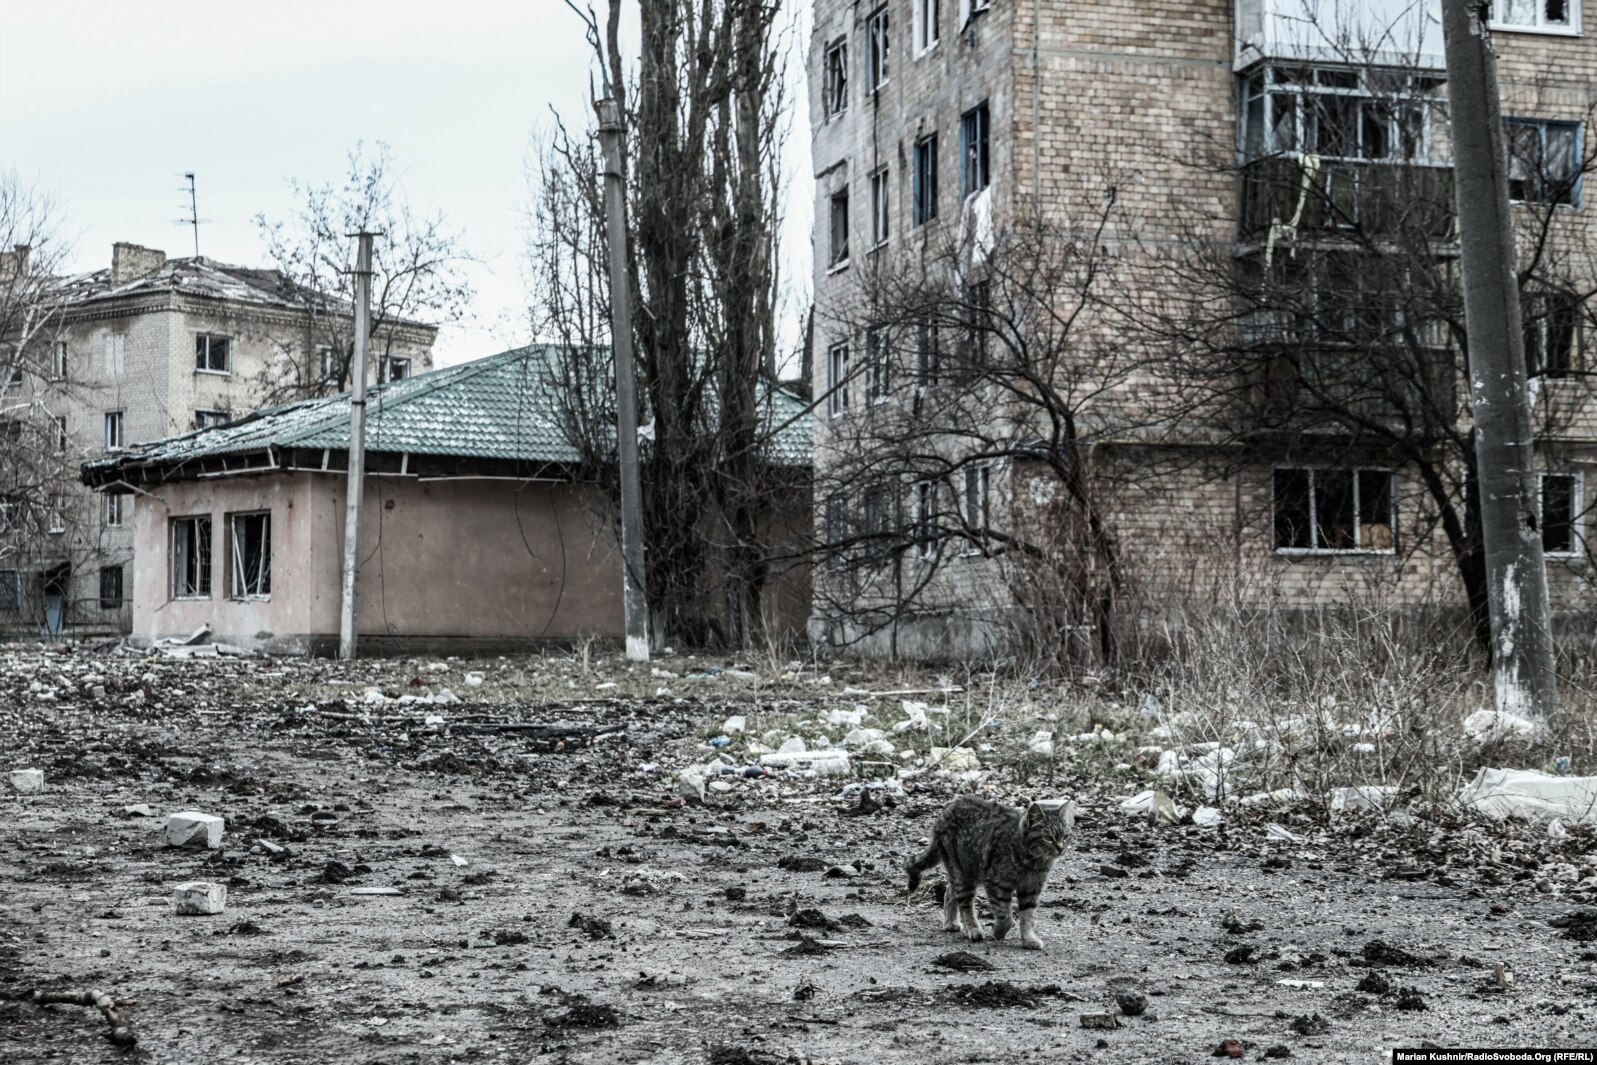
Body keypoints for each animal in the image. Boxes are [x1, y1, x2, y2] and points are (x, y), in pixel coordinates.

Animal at [913, 798, 1073, 951]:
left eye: (1065, 837)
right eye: (1048, 838)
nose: (1061, 848)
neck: (1033, 862)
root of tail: (948, 808)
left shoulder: (1031, 888)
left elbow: (1027, 917)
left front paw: (1028, 939)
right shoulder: (997, 883)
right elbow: (1005, 916)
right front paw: (998, 932)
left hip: (966, 871)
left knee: (949, 891)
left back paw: (951, 922)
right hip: (963, 874)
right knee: (965, 904)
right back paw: (973, 929)